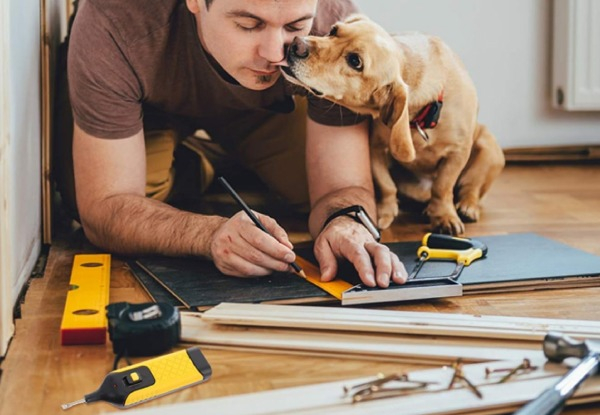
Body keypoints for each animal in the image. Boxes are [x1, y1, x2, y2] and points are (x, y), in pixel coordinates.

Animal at [280, 14, 502, 236]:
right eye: (334, 30)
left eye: (355, 61)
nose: (296, 44)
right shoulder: (376, 149)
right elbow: (387, 186)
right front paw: (384, 213)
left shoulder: (457, 153)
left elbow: (442, 187)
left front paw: (444, 216)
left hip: (488, 148)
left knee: (470, 188)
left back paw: (467, 207)